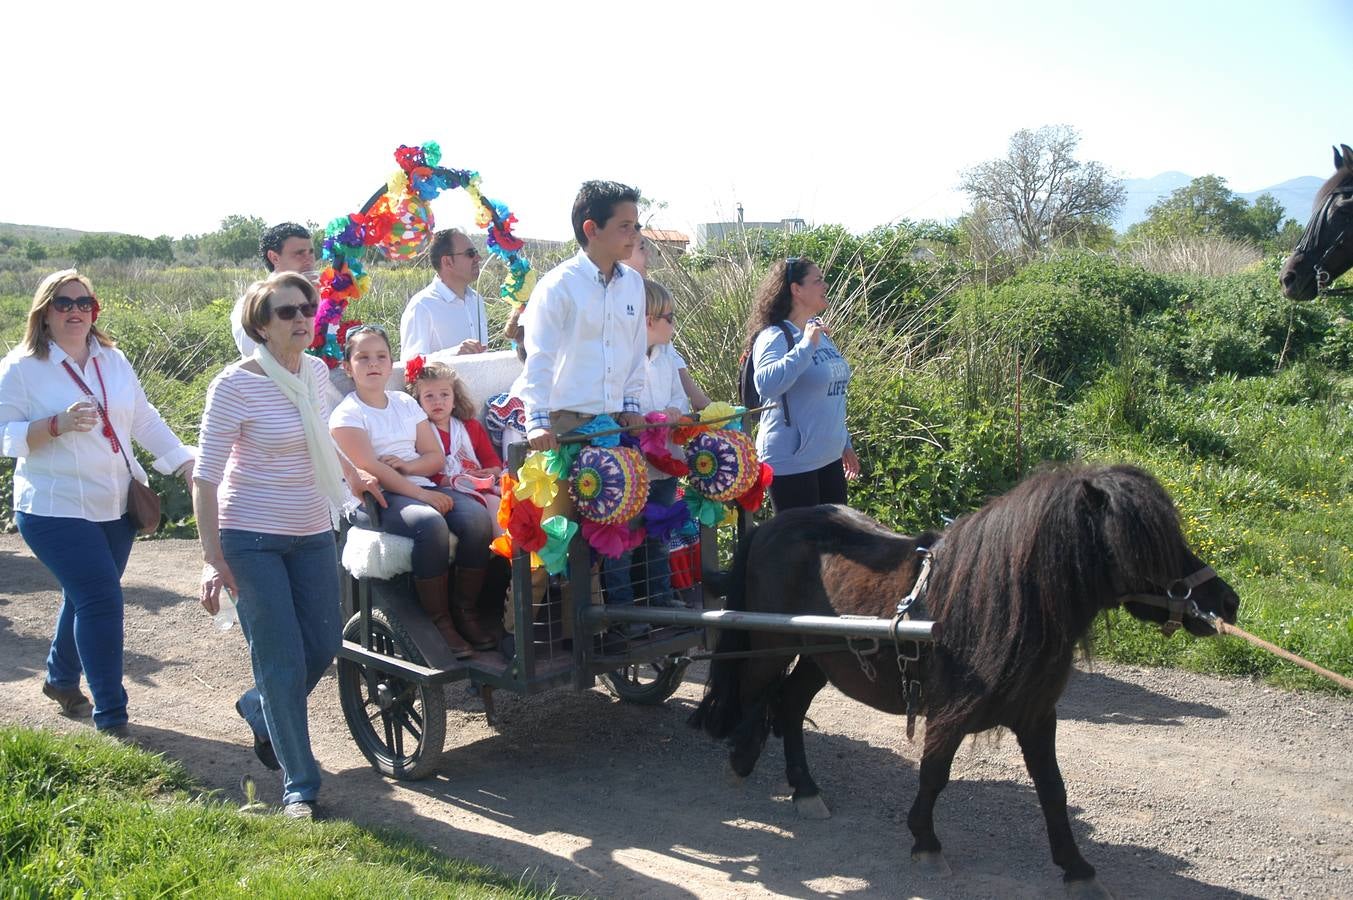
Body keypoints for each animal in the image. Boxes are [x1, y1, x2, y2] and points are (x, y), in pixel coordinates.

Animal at [692, 465, 1239, 893]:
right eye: (1146, 545)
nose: (1226, 602)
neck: (1000, 601)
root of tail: (769, 526)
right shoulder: (948, 712)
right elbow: (934, 774)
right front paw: (926, 843)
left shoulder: (1037, 715)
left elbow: (1053, 788)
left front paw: (1077, 867)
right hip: (769, 646)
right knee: (753, 696)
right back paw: (742, 762)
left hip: (822, 657)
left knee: (788, 704)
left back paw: (804, 789)